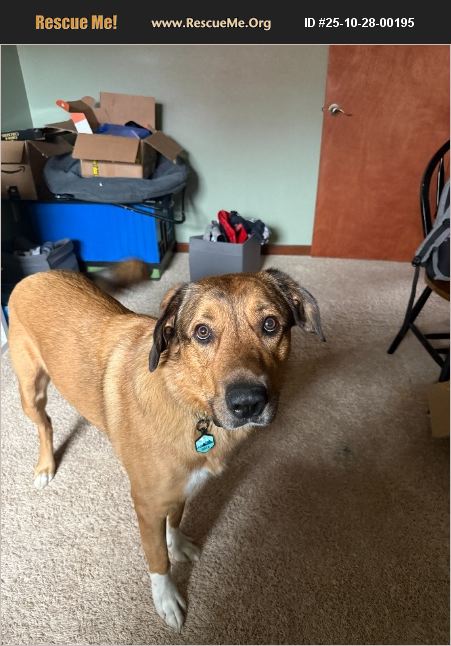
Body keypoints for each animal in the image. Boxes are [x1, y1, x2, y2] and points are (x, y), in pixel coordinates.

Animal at [8, 264, 324, 632]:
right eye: (202, 332)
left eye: (270, 324)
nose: (248, 403)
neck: (189, 402)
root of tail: (36, 275)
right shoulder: (147, 504)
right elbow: (158, 558)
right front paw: (166, 597)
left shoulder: (182, 486)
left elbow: (175, 519)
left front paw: (179, 543)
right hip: (30, 389)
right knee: (45, 423)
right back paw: (45, 466)